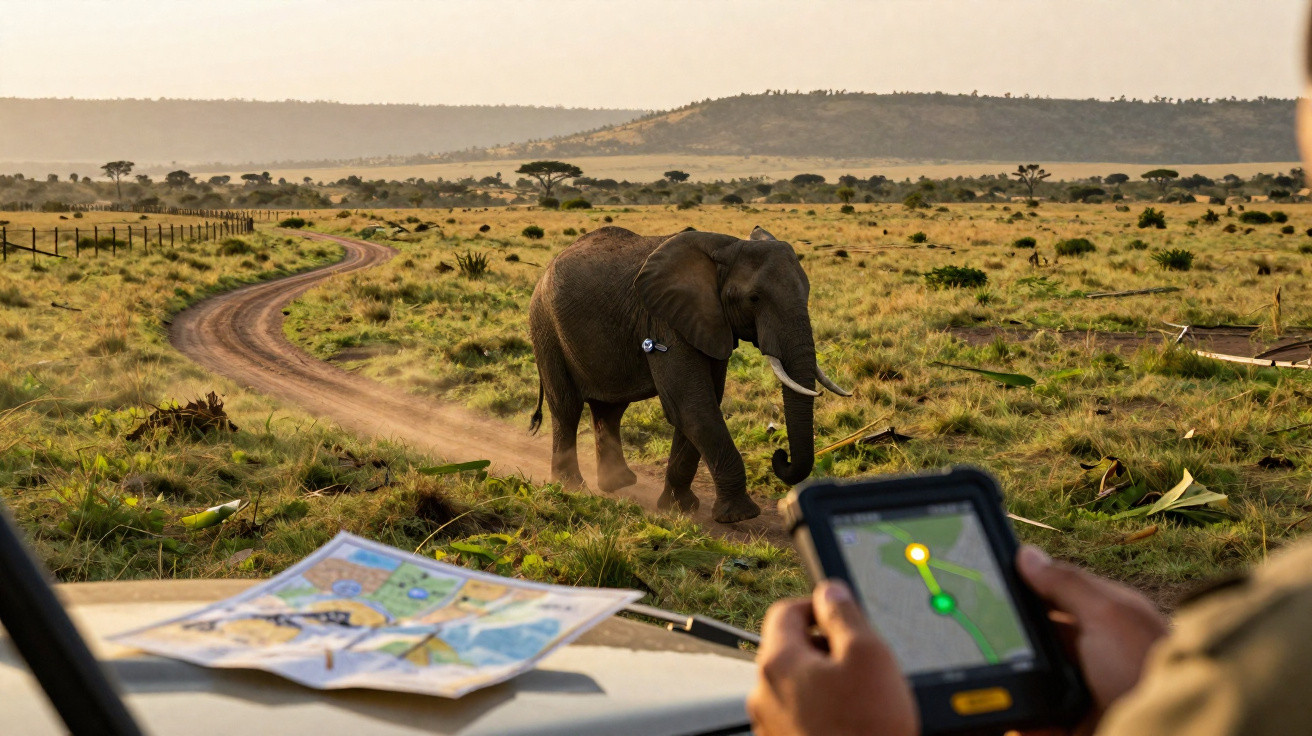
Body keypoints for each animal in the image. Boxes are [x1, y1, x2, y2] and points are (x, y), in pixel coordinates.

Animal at [527, 225, 850, 523]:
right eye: (754, 298)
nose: (780, 455)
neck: (729, 247)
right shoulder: (664, 320)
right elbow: (691, 405)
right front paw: (739, 516)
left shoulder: (709, 322)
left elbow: (700, 404)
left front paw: (678, 508)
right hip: (545, 327)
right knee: (567, 407)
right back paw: (572, 487)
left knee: (610, 409)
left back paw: (617, 483)